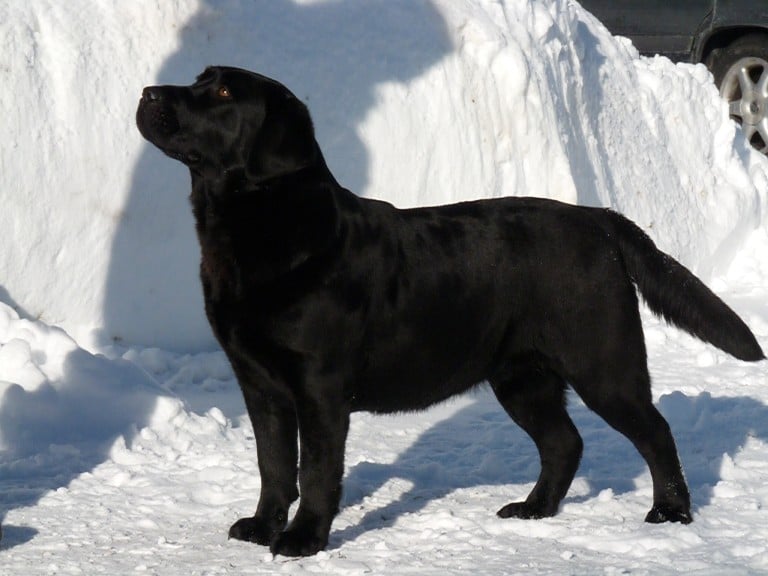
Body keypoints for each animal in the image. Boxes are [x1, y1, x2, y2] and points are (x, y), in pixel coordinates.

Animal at [136, 65, 760, 556]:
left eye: (222, 92)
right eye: (199, 78)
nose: (147, 91)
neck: (257, 229)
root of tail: (599, 218)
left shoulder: (318, 387)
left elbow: (314, 470)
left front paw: (303, 539)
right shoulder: (259, 383)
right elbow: (272, 465)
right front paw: (263, 526)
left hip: (603, 364)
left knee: (655, 433)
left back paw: (671, 513)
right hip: (521, 376)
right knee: (565, 443)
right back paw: (533, 509)